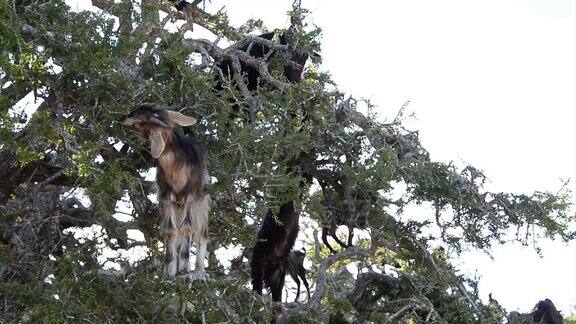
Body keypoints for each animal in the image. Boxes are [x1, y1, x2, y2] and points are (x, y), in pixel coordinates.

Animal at [119, 104, 209, 278]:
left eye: (139, 118)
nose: (122, 118)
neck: (175, 170)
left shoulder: (189, 197)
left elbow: (187, 229)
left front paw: (184, 270)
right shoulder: (166, 198)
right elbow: (170, 231)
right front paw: (170, 272)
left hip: (200, 204)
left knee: (201, 235)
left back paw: (200, 271)